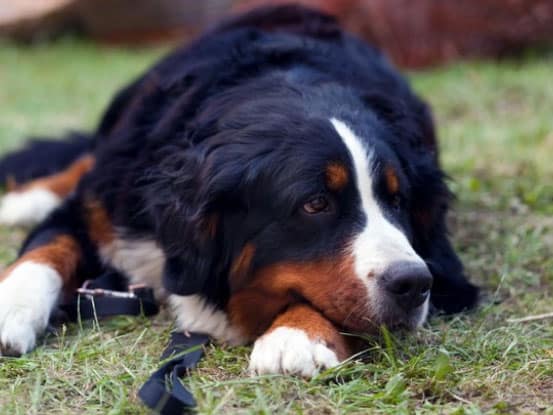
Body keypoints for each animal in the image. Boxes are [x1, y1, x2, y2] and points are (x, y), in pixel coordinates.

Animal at [0, 5, 476, 376]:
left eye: (398, 200)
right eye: (315, 204)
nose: (413, 283)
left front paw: (296, 335)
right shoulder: (99, 206)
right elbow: (46, 251)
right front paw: (10, 307)